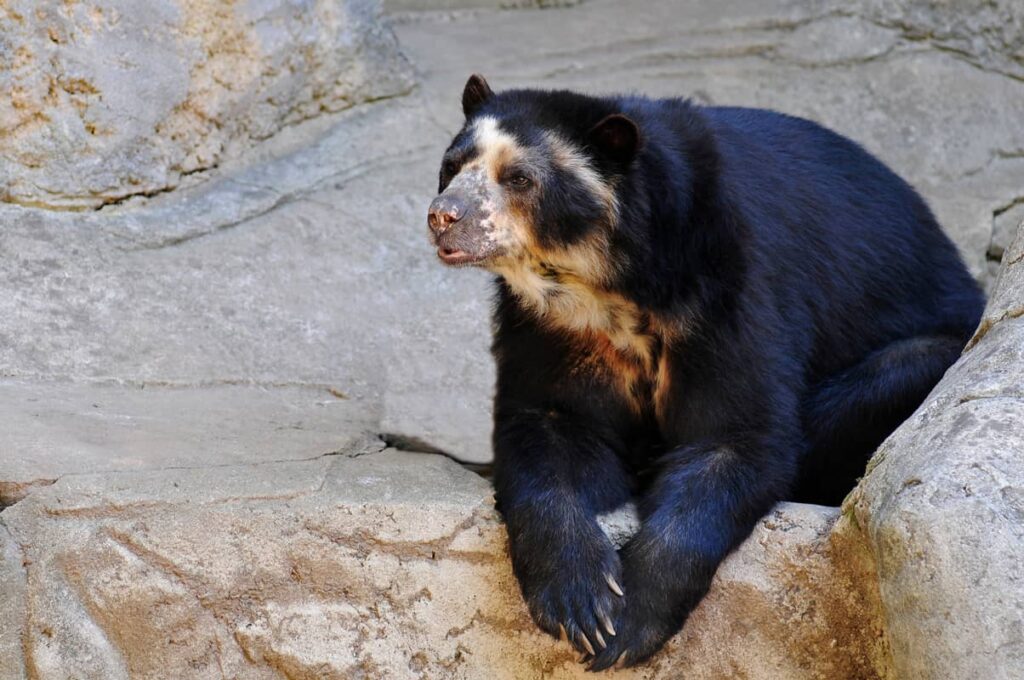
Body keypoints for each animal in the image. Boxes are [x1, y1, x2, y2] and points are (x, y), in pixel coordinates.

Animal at [427, 74, 984, 670]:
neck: (607, 282)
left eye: (519, 178)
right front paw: (582, 601)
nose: (443, 216)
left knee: (896, 371)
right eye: (451, 165)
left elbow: (734, 435)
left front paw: (630, 619)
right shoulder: (552, 328)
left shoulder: (729, 286)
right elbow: (547, 425)